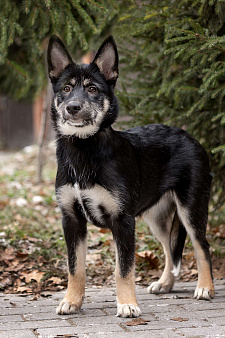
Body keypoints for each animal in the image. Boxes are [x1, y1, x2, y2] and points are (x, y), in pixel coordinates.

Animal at [46, 35, 214, 318]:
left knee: (202, 247)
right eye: (66, 88)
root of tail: (191, 137)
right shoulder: (71, 220)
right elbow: (75, 267)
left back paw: (205, 288)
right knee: (170, 250)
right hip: (156, 217)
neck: (85, 150)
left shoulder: (123, 220)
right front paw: (71, 301)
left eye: (93, 89)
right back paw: (165, 284)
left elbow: (123, 269)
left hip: (191, 209)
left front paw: (127, 304)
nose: (72, 108)